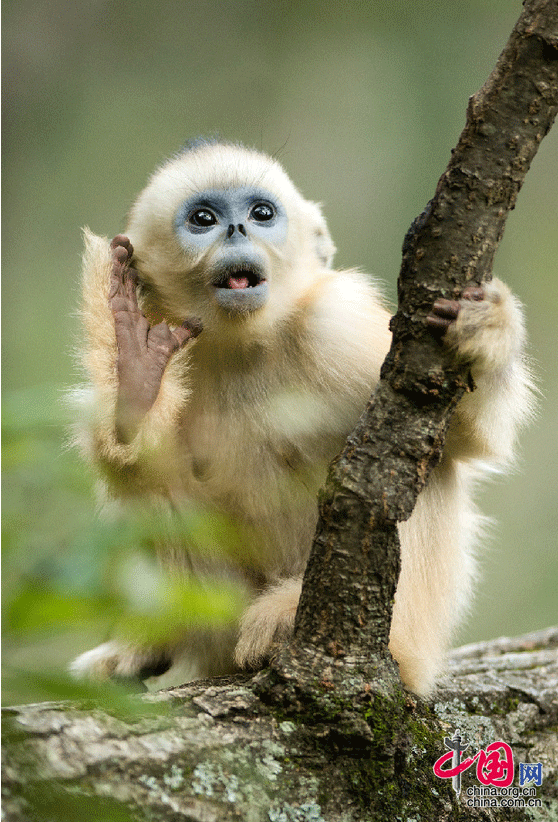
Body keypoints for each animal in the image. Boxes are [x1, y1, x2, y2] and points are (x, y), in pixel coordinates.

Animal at [69, 139, 533, 696]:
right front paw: (136, 367)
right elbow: (143, 462)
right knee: (153, 488)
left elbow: (463, 438)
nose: (237, 229)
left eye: (262, 213)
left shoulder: (336, 324)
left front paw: (486, 328)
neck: (244, 345)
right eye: (203, 219)